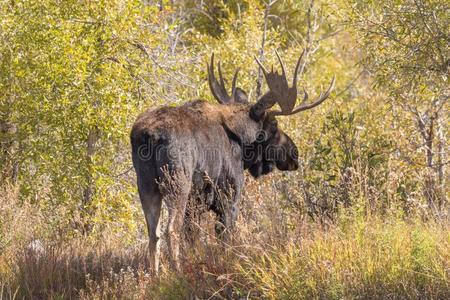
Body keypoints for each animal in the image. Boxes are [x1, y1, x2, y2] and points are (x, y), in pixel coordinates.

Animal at [130, 50, 334, 270]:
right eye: (274, 124)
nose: (294, 154)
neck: (241, 141)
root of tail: (149, 135)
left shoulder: (198, 205)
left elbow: (193, 238)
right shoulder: (229, 197)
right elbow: (225, 238)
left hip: (146, 185)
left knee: (154, 234)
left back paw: (156, 274)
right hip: (177, 182)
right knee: (171, 230)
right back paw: (177, 271)